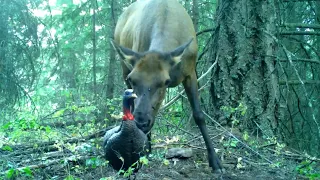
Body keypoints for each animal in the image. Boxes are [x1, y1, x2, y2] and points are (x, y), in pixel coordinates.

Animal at [111, 0, 224, 172]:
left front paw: (215, 161)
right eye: (133, 79)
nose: (141, 122)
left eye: (165, 81)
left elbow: (199, 114)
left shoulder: (191, 71)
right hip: (124, 66)